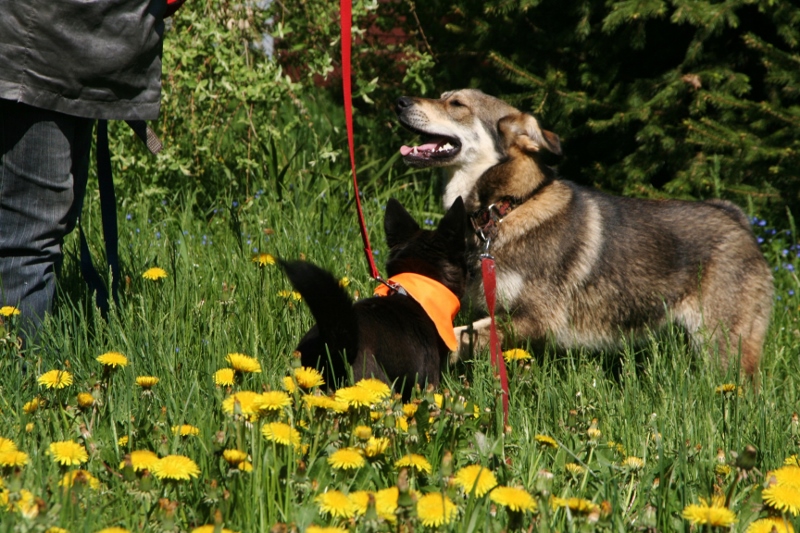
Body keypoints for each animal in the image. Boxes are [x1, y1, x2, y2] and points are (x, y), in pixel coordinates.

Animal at [396, 89, 773, 377]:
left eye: (457, 104)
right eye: (443, 96)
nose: (399, 101)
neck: (506, 208)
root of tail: (737, 220)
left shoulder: (537, 319)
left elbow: (458, 334)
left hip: (724, 346)